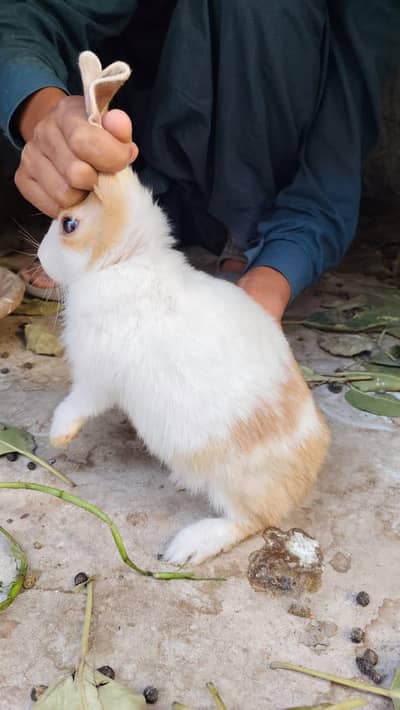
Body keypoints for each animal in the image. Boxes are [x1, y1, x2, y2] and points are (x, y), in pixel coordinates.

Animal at [38, 164, 330, 566]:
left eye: (69, 224)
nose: (39, 256)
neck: (121, 261)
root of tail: (308, 470)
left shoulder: (96, 378)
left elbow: (77, 405)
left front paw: (57, 436)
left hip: (232, 481)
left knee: (251, 520)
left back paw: (188, 547)